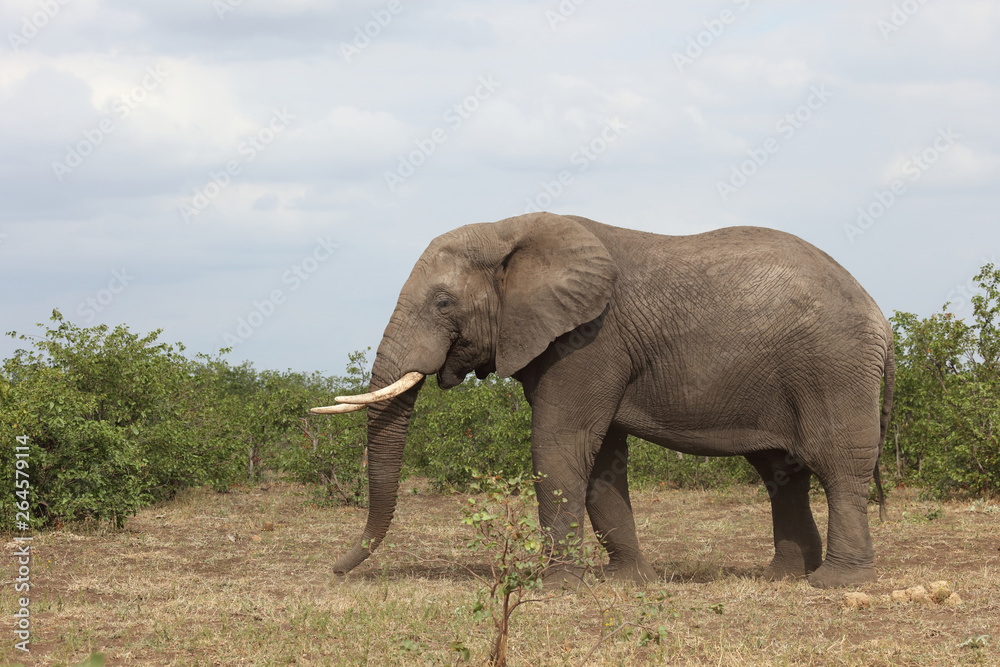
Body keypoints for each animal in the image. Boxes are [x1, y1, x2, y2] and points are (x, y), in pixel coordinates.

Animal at [313, 212, 895, 589]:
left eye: (442, 302)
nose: (336, 572)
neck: (512, 230)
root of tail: (880, 315)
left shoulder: (590, 339)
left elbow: (560, 444)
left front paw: (558, 588)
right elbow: (600, 460)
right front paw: (627, 583)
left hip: (834, 367)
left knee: (838, 466)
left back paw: (836, 584)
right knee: (782, 472)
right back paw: (782, 578)